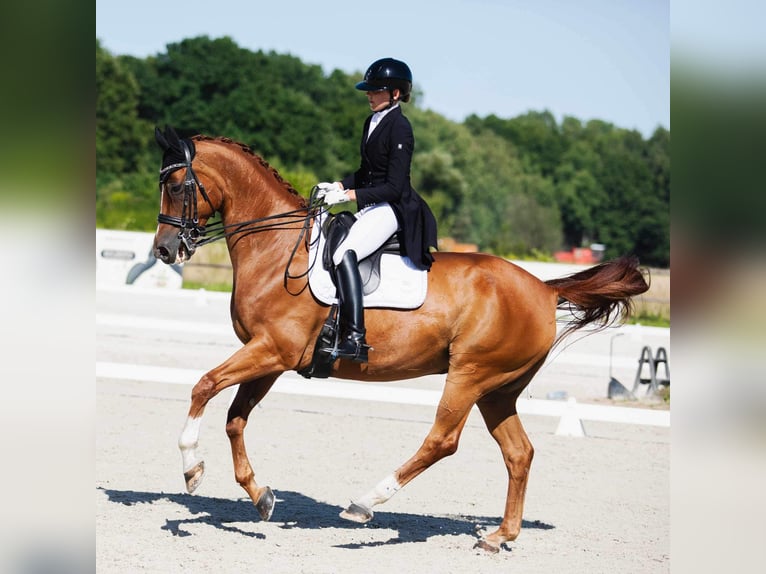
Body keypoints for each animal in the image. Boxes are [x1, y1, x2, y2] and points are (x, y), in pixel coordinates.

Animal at [150, 127, 648, 552]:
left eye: (176, 186)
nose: (165, 250)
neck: (276, 249)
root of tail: (544, 290)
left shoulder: (272, 349)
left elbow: (204, 385)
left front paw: (191, 469)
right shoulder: (271, 357)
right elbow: (235, 418)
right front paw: (260, 495)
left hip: (470, 374)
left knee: (443, 440)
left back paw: (365, 502)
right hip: (498, 389)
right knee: (518, 452)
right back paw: (498, 536)